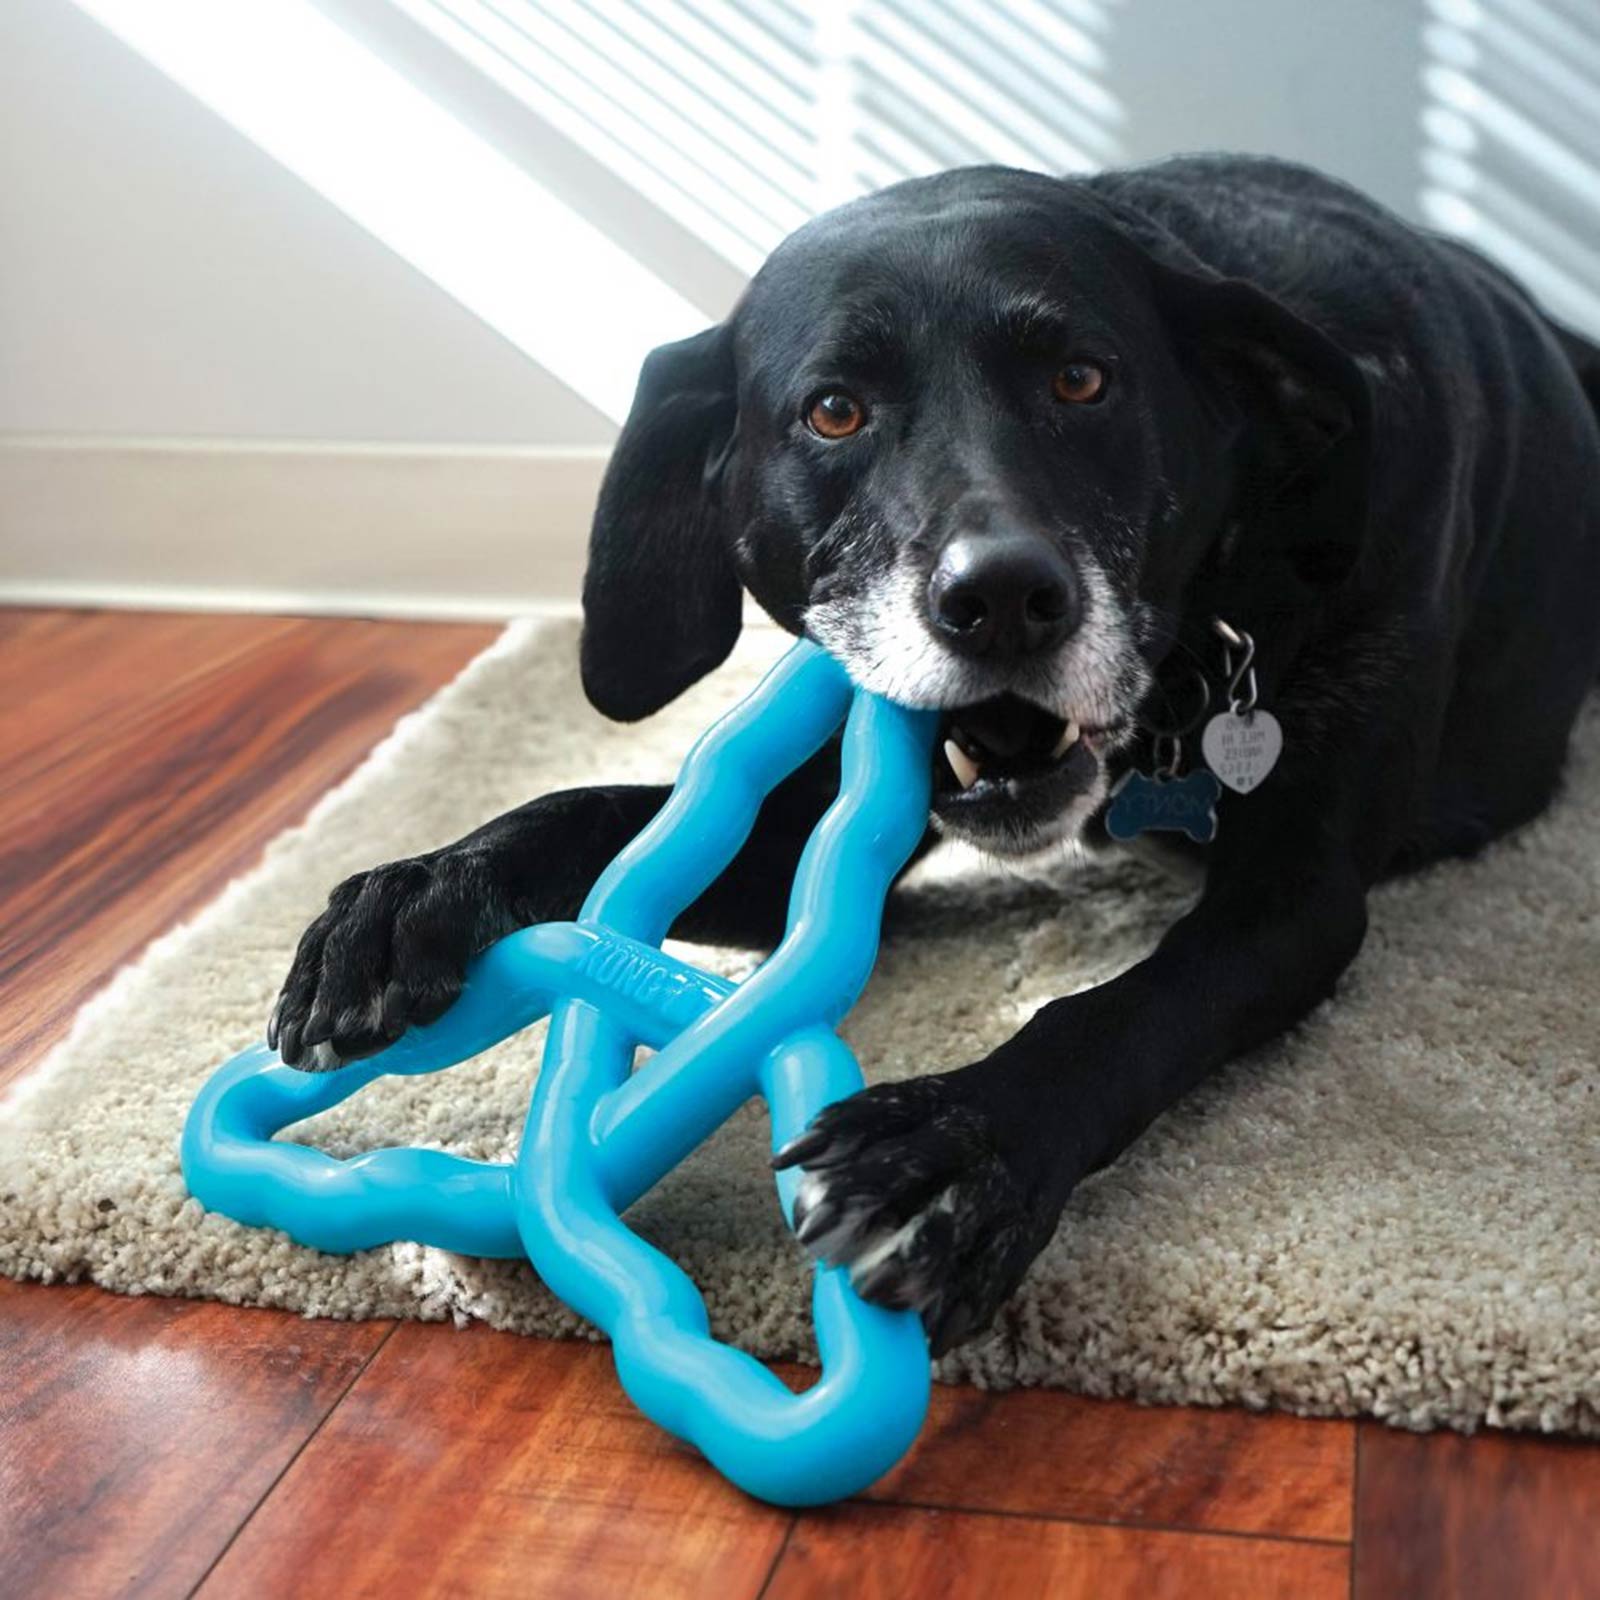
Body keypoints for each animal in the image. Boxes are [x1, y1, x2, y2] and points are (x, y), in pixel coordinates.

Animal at [265, 159, 1600, 1350]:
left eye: (1081, 379)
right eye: (834, 410)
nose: (1001, 598)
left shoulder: (1293, 905)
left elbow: (1120, 1009)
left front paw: (959, 1145)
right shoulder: (811, 826)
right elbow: (582, 804)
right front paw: (415, 893)